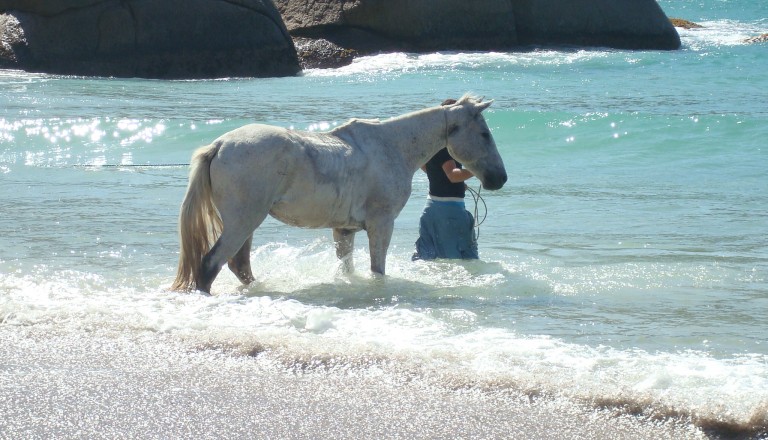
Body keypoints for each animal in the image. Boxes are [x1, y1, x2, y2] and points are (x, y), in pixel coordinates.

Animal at [175, 96, 510, 294]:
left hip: (246, 225)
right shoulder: (381, 225)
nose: (499, 178)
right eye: (484, 134)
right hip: (242, 222)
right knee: (210, 264)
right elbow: (377, 271)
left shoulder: (345, 230)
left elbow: (348, 268)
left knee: (239, 265)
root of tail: (219, 145)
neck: (391, 147)